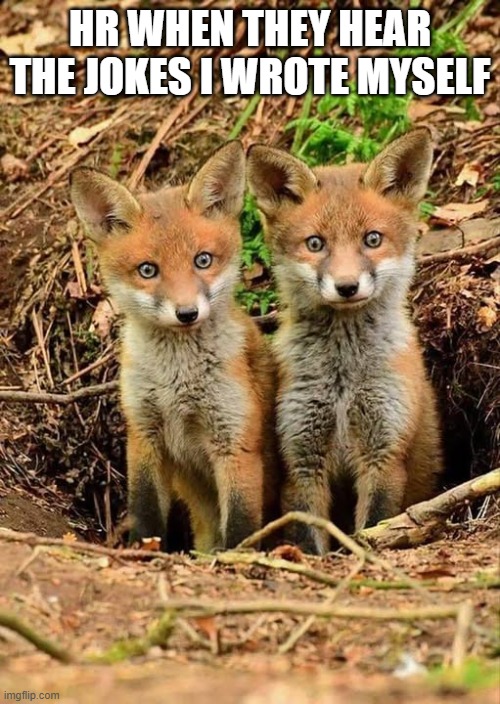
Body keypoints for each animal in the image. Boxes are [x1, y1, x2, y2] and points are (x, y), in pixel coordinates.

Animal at [70, 141, 279, 552]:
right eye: (148, 270)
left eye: (203, 260)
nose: (187, 313)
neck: (177, 383)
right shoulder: (143, 434)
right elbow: (146, 511)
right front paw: (143, 550)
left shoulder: (235, 441)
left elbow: (242, 524)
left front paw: (238, 558)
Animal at [247, 128, 443, 555]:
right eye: (315, 244)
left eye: (372, 239)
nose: (347, 286)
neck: (343, 378)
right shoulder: (302, 457)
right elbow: (308, 534)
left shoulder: (385, 451)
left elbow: (375, 521)